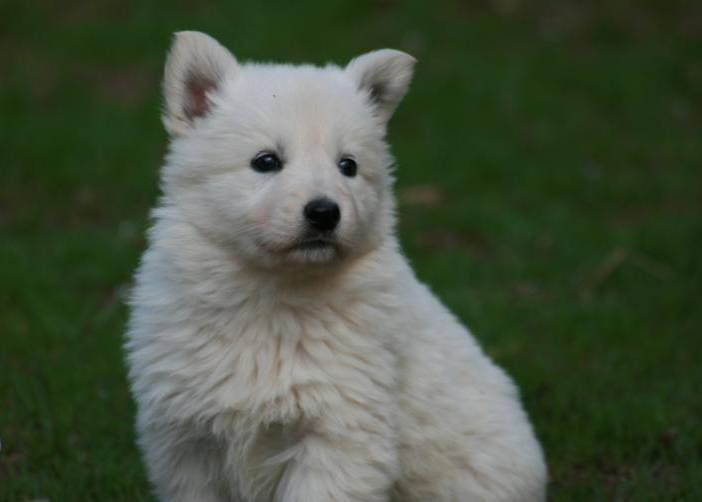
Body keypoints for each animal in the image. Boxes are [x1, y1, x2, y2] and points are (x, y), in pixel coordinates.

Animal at [129, 31, 552, 502]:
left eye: (348, 165)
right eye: (265, 161)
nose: (324, 212)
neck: (273, 296)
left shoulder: (339, 431)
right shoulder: (186, 438)